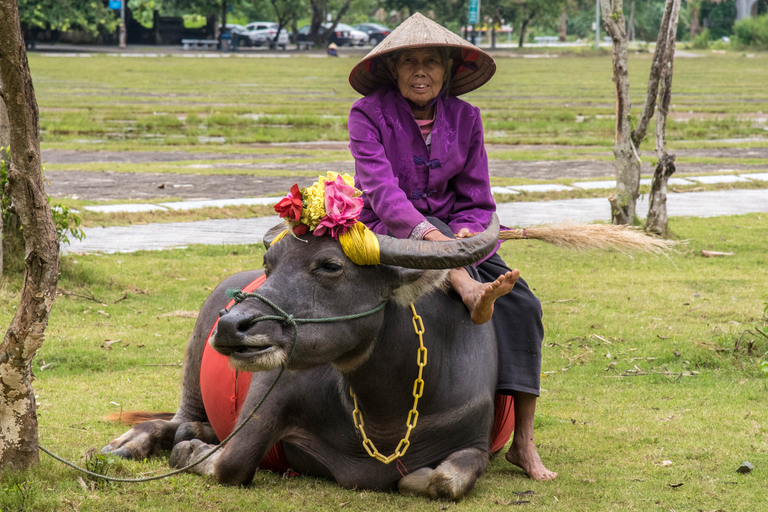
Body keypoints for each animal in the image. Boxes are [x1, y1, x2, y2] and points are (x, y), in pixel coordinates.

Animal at [103, 215, 510, 500]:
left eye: (330, 265)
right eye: (269, 263)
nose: (231, 325)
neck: (385, 414)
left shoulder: (477, 441)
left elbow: (445, 480)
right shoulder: (273, 385)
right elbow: (232, 462)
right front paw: (191, 451)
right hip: (192, 367)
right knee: (175, 420)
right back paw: (131, 443)